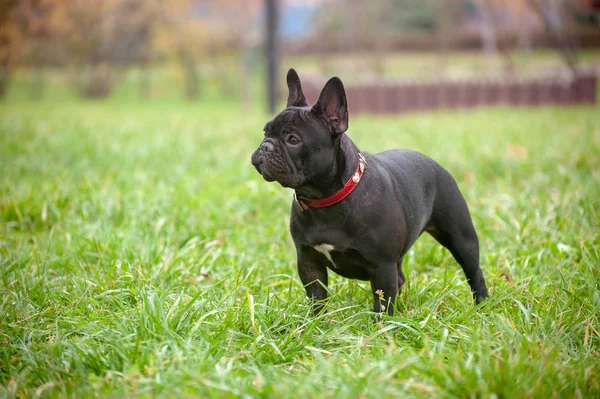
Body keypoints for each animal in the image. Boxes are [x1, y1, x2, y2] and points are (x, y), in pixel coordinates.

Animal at [251, 70, 490, 318]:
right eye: (265, 132)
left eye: (293, 140)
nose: (265, 146)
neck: (323, 200)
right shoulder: (308, 261)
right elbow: (317, 298)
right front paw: (317, 322)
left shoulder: (382, 265)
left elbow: (382, 304)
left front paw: (382, 326)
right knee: (400, 278)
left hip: (460, 237)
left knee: (474, 271)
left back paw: (481, 305)